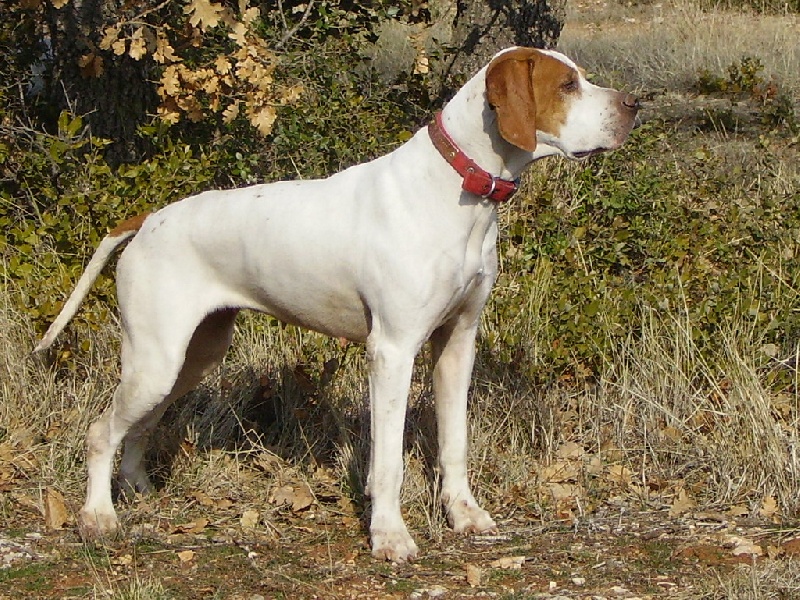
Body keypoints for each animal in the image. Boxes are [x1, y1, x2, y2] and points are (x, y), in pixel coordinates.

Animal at [36, 47, 636, 564]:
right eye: (567, 84)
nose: (635, 105)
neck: (457, 191)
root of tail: (148, 219)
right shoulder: (392, 350)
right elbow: (388, 461)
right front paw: (390, 537)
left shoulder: (456, 345)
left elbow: (455, 444)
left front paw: (464, 515)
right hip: (155, 361)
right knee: (101, 432)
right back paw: (98, 516)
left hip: (190, 359)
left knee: (137, 428)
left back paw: (138, 490)